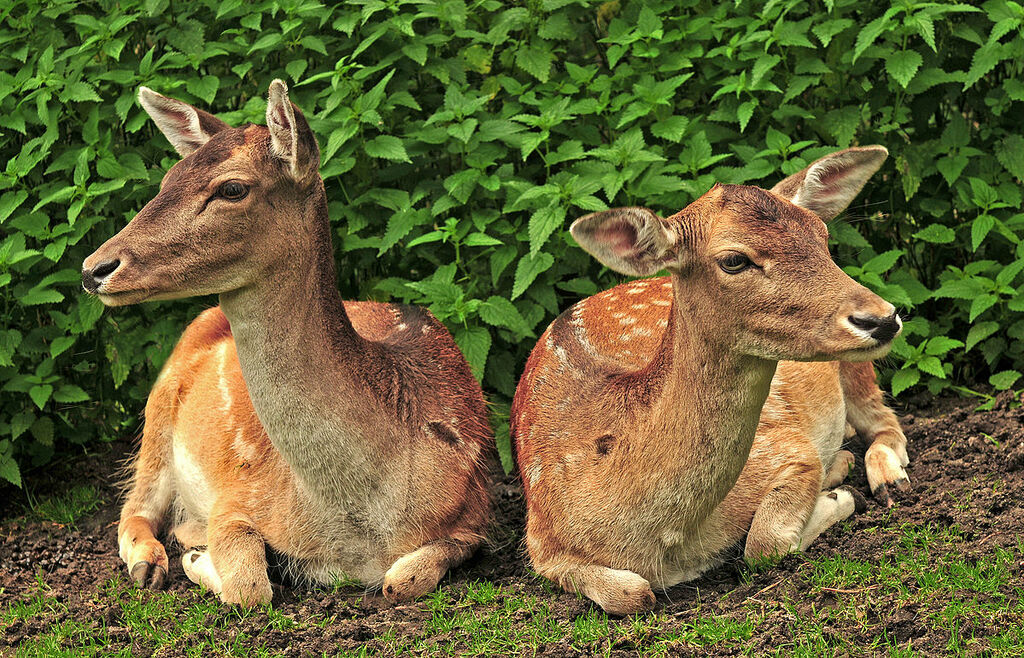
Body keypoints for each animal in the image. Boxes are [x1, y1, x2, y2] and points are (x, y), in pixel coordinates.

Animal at [80, 80, 493, 607]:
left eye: (232, 188)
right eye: (167, 178)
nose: (95, 268)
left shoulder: (475, 512)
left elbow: (402, 580)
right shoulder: (239, 495)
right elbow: (250, 586)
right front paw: (198, 559)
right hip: (157, 412)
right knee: (134, 509)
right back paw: (153, 561)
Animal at [511, 146, 908, 615]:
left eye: (822, 236)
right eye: (734, 259)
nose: (883, 318)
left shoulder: (789, 448)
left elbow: (764, 544)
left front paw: (842, 495)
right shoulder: (539, 540)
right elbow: (631, 592)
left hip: (852, 368)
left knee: (886, 422)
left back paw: (883, 478)